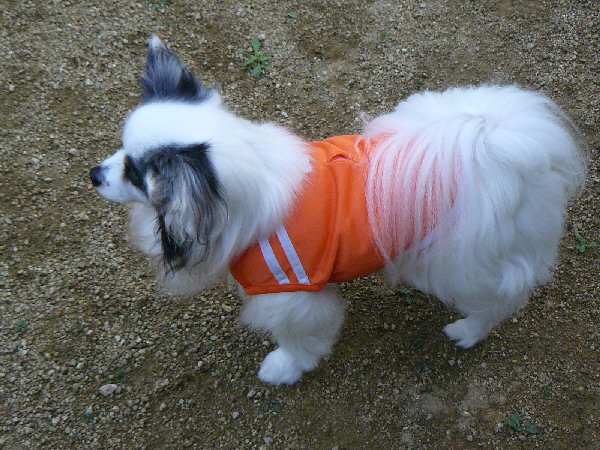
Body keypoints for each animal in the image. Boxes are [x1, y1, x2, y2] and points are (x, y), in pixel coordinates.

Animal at [90, 36, 587, 385]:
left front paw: (283, 368)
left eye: (136, 174)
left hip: (461, 262)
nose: (94, 173)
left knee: (503, 297)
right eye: (121, 153)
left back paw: (467, 330)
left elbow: (296, 339)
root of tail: (511, 141)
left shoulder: (293, 295)